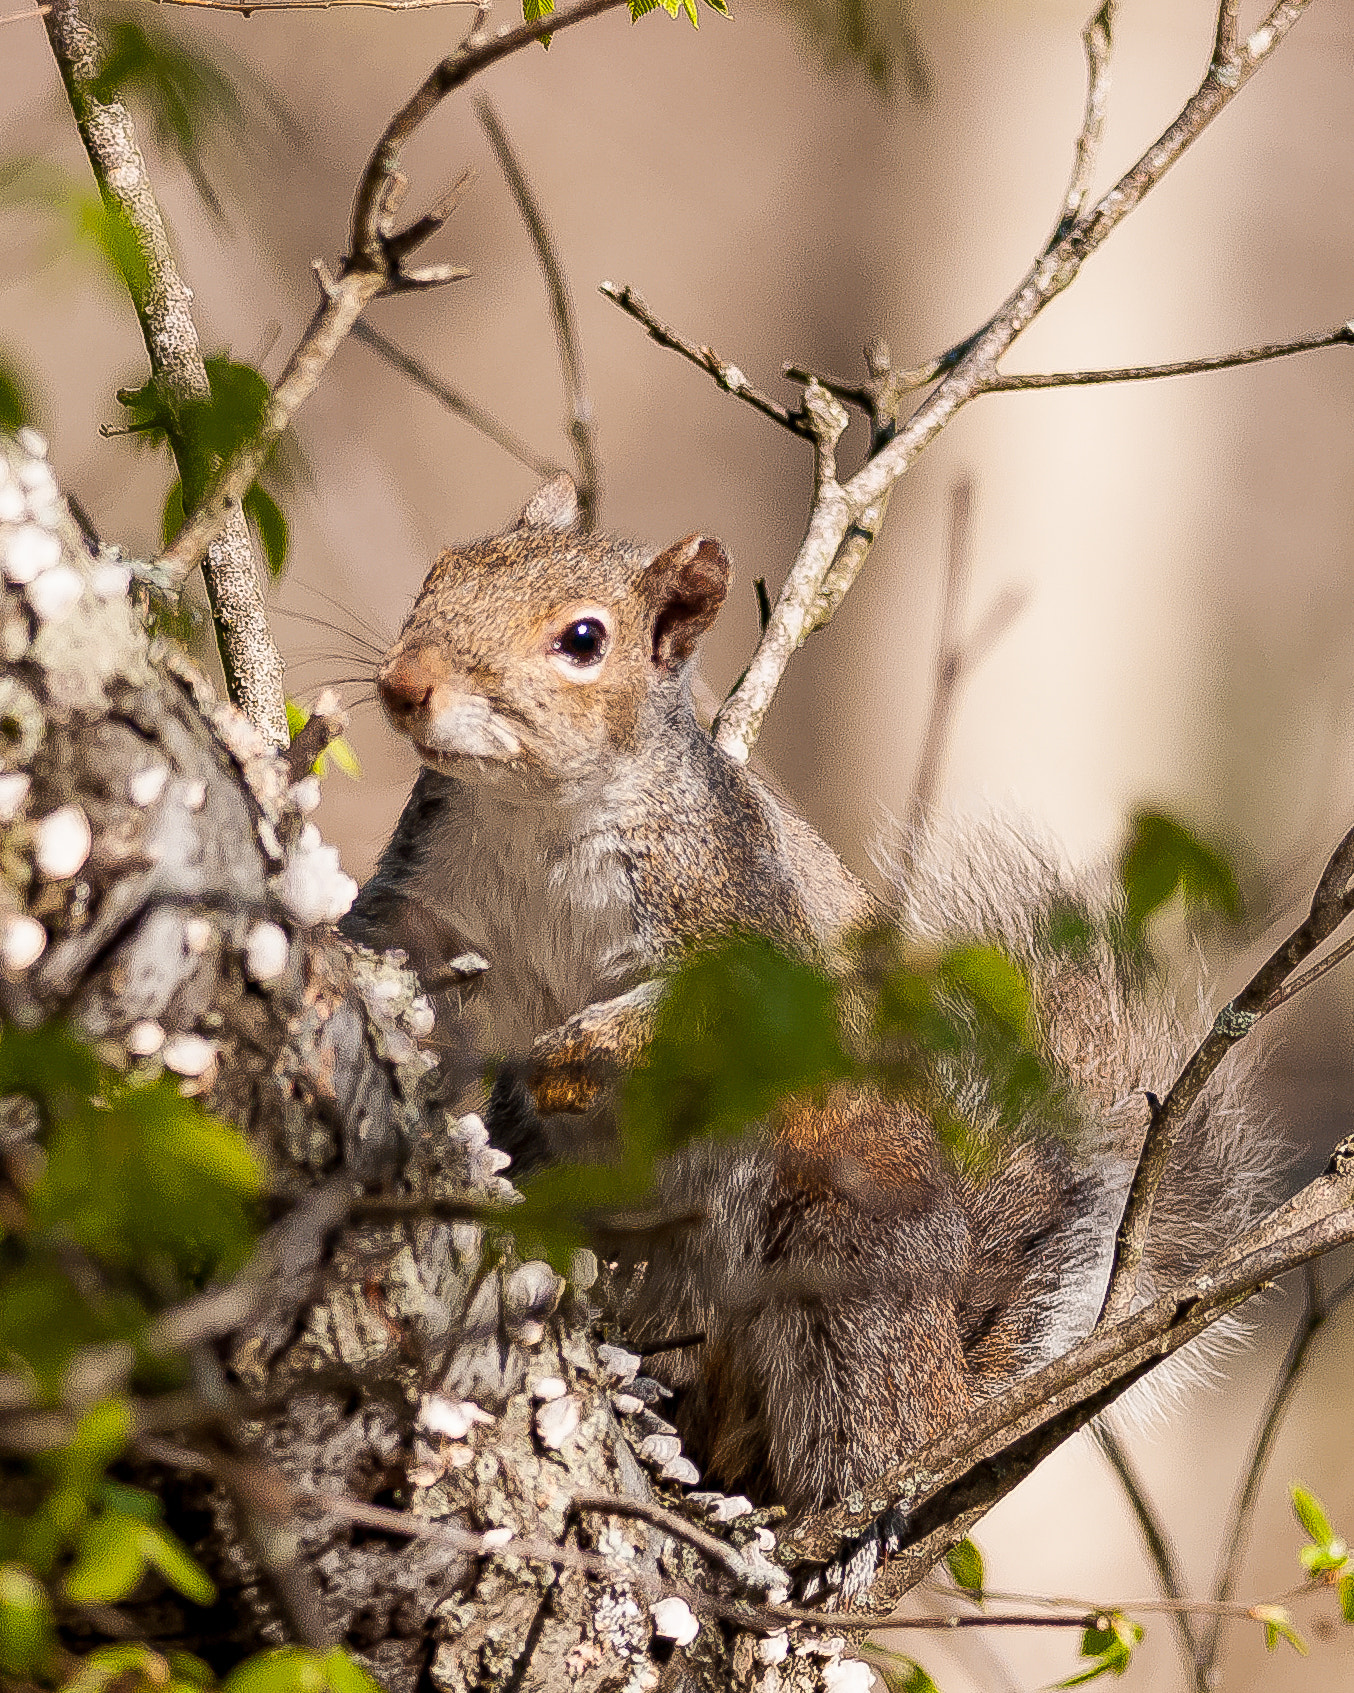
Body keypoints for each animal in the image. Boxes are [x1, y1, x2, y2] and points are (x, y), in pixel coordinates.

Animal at [343, 480, 1272, 1523]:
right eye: (440, 572)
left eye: (583, 639)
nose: (406, 684)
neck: (533, 813)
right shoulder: (436, 899)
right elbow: (403, 955)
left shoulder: (741, 932)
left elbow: (695, 1023)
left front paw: (570, 1050)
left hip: (846, 1261)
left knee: (868, 1436)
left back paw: (842, 1521)